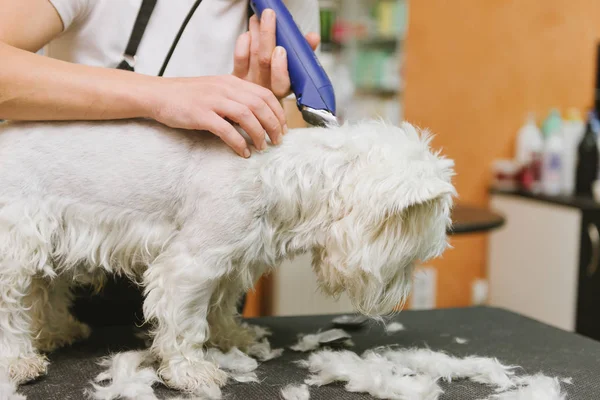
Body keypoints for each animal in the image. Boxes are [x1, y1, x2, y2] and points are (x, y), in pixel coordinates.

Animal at [0, 117, 452, 396]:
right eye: (413, 256)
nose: (395, 300)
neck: (283, 177)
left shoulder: (230, 262)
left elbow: (219, 307)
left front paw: (232, 338)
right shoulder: (190, 265)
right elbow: (185, 324)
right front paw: (190, 371)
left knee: (44, 292)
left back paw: (56, 331)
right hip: (15, 244)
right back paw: (19, 360)